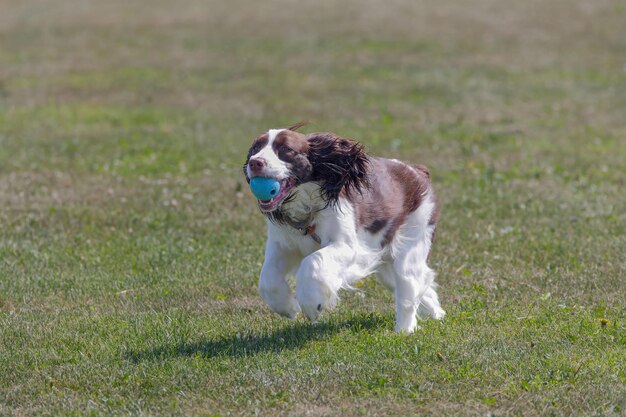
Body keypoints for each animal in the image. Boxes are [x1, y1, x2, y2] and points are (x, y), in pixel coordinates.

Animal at [241, 121, 442, 332]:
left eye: (286, 149)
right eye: (255, 148)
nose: (255, 162)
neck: (307, 208)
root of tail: (417, 172)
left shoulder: (348, 246)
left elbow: (313, 261)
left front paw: (313, 304)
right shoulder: (282, 245)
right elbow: (268, 278)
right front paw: (287, 307)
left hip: (410, 242)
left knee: (408, 287)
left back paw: (403, 331)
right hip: (386, 264)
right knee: (420, 283)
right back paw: (435, 313)